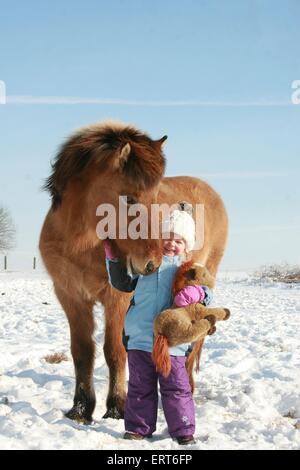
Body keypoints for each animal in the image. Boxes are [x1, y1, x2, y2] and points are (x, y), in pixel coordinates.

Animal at [39, 120, 227, 422]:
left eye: (155, 196)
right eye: (129, 198)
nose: (152, 263)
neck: (79, 243)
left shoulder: (117, 298)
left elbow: (115, 351)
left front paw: (116, 406)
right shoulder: (70, 296)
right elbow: (82, 351)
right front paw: (80, 409)